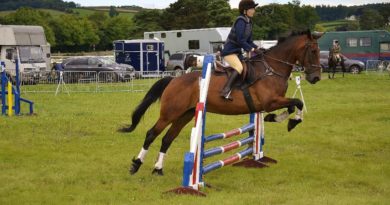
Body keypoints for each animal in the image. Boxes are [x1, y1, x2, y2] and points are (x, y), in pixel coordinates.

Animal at [120, 29, 324, 175]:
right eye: (313, 51)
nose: (315, 78)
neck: (271, 68)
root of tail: (173, 79)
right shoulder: (270, 102)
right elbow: (297, 102)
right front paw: (289, 121)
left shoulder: (273, 102)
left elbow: (294, 104)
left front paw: (278, 119)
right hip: (170, 113)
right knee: (151, 134)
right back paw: (136, 165)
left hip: (185, 114)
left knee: (167, 138)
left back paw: (158, 169)